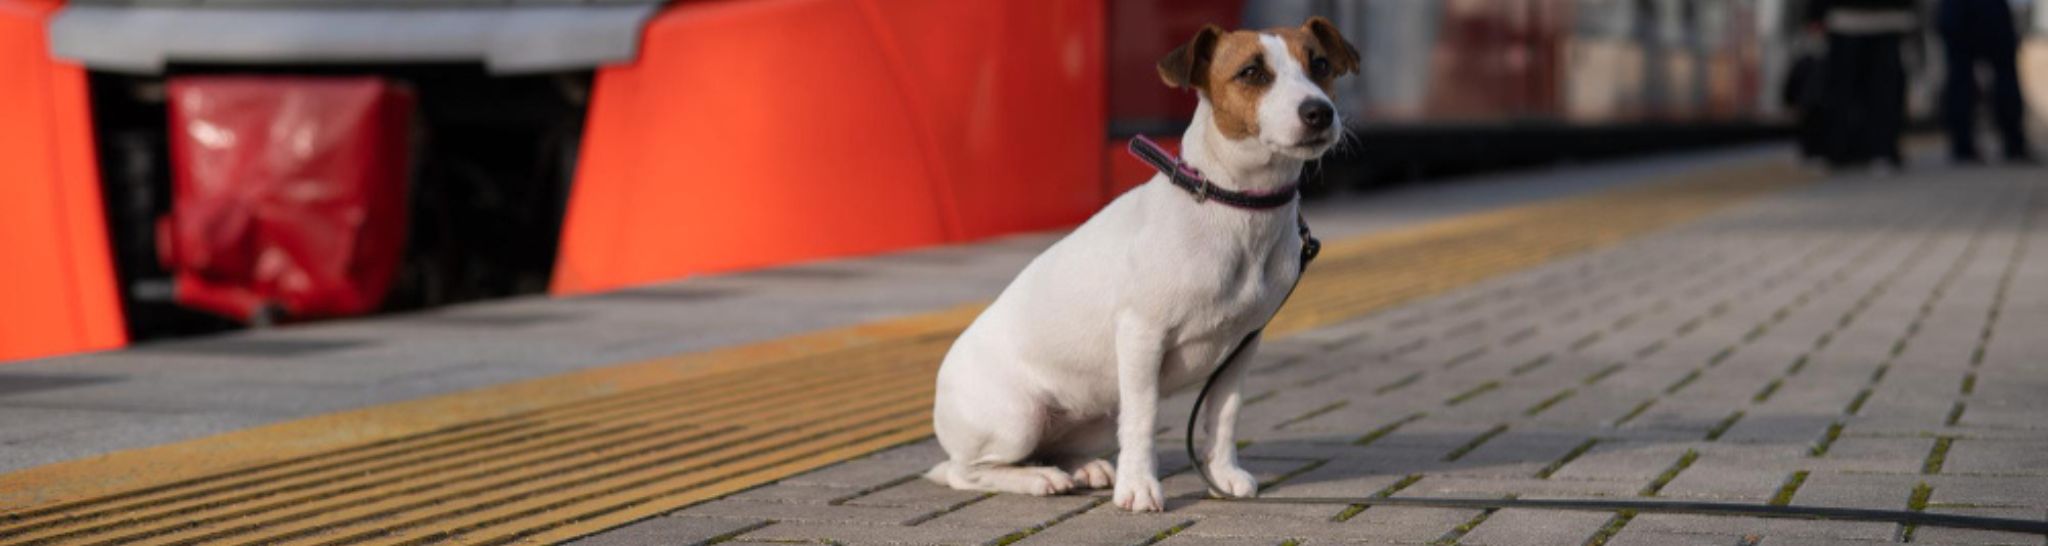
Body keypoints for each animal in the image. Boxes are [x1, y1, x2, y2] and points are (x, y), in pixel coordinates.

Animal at [929, 18, 1359, 513]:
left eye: (1320, 64)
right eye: (1252, 72)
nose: (1319, 112)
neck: (1235, 206)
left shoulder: (1242, 347)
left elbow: (1224, 416)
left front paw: (1222, 474)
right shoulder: (1142, 337)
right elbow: (1143, 419)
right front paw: (1138, 486)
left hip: (1095, 412)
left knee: (1051, 449)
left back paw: (1082, 468)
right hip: (1017, 418)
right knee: (966, 471)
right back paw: (1038, 478)